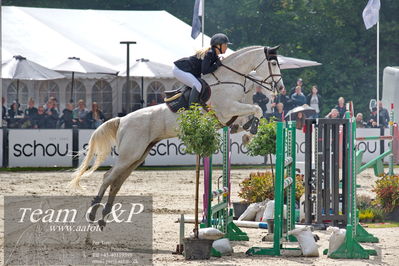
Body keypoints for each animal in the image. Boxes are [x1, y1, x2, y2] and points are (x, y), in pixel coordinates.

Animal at [72, 45, 284, 227]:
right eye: (274, 63)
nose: (280, 89)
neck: (230, 79)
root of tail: (122, 120)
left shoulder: (231, 117)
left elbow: (251, 115)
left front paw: (249, 131)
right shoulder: (228, 110)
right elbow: (257, 109)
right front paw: (253, 130)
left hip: (138, 156)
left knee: (117, 182)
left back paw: (103, 217)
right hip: (129, 154)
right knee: (108, 177)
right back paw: (93, 212)